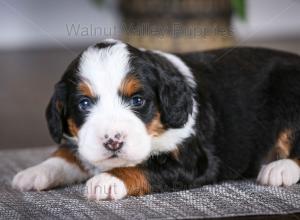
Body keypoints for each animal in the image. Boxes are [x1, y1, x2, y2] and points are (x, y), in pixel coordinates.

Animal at [12, 38, 300, 200]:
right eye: (84, 104)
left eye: (138, 101)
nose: (113, 141)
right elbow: (68, 154)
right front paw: (34, 172)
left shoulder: (192, 160)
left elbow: (145, 167)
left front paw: (108, 181)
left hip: (289, 90)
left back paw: (280, 168)